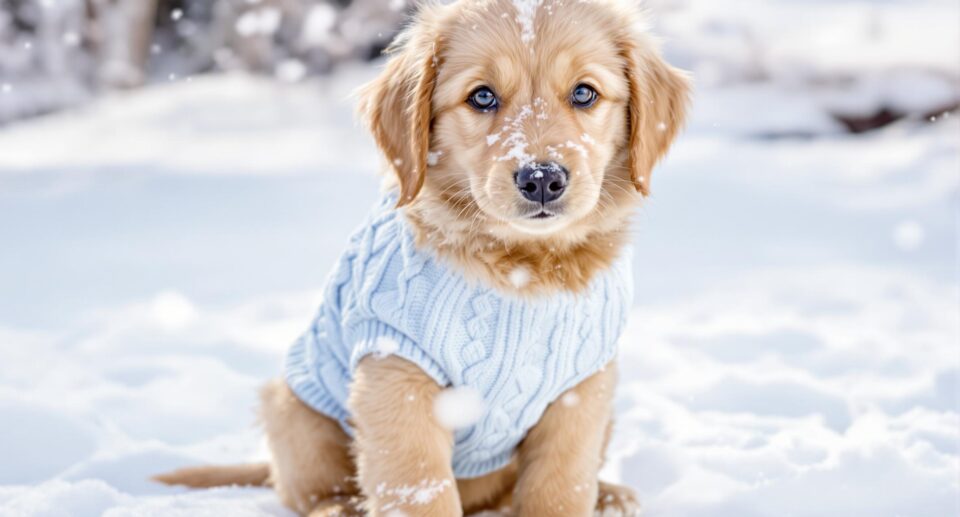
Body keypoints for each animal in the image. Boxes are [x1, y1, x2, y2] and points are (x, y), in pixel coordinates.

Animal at [154, 0, 688, 512]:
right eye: (482, 97)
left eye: (584, 94)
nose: (541, 178)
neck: (521, 266)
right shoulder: (396, 371)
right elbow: (419, 484)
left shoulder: (582, 389)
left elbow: (560, 485)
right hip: (293, 410)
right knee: (314, 490)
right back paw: (337, 509)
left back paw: (611, 496)